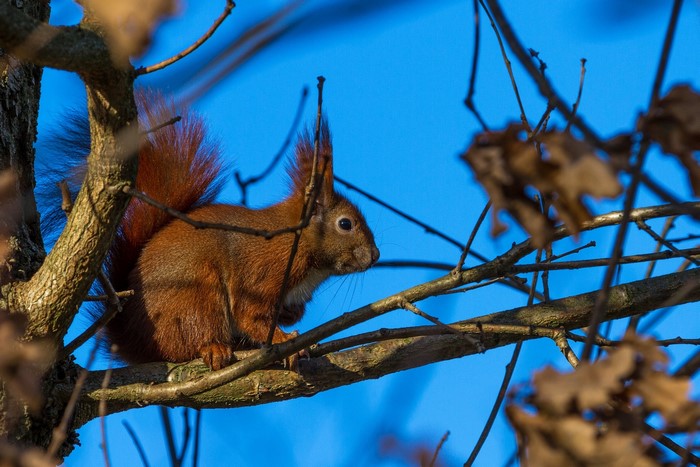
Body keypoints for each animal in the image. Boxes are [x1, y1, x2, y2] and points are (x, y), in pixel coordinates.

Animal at [100, 96, 379, 370]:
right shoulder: (263, 272)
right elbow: (250, 315)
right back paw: (213, 348)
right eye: (346, 224)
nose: (375, 255)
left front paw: (291, 317)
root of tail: (134, 339)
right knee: (188, 340)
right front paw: (284, 341)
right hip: (195, 294)